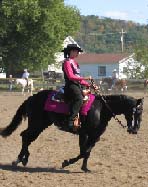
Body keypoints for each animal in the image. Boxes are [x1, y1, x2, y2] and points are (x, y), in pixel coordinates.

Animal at [0, 90, 144, 172]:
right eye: (135, 112)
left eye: (141, 113)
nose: (135, 130)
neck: (101, 109)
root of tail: (32, 98)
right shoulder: (84, 134)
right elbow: (83, 151)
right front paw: (66, 162)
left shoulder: (95, 136)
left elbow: (87, 152)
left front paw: (85, 168)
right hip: (37, 124)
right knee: (25, 136)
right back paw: (20, 160)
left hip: (41, 125)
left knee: (26, 137)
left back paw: (22, 159)